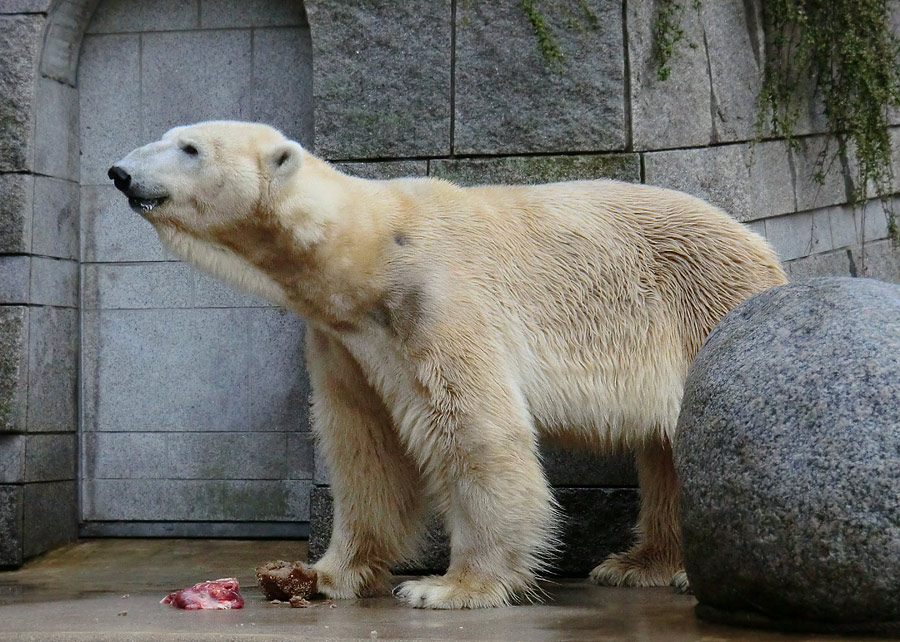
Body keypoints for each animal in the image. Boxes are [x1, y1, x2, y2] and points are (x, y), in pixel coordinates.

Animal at [109, 120, 788, 604]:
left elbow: (473, 430)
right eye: (171, 135)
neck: (365, 253)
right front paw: (324, 573)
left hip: (703, 311)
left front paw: (450, 585)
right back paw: (639, 565)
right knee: (667, 449)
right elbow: (365, 446)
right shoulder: (344, 340)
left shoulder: (435, 300)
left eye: (189, 147)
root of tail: (764, 252)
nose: (119, 171)